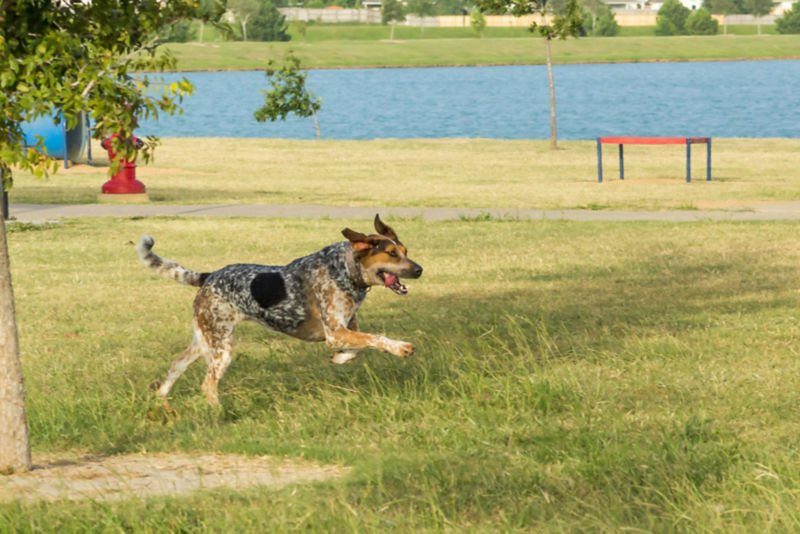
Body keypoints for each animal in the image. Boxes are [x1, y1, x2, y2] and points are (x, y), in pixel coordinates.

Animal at [136, 216, 424, 408]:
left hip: (205, 340)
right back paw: (218, 413)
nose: (420, 269)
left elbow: (359, 348)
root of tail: (208, 276)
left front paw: (340, 358)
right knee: (207, 384)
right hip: (221, 347)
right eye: (391, 253)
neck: (344, 270)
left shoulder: (345, 329)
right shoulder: (335, 332)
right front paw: (401, 347)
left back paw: (162, 401)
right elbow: (376, 338)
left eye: (406, 251)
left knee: (176, 365)